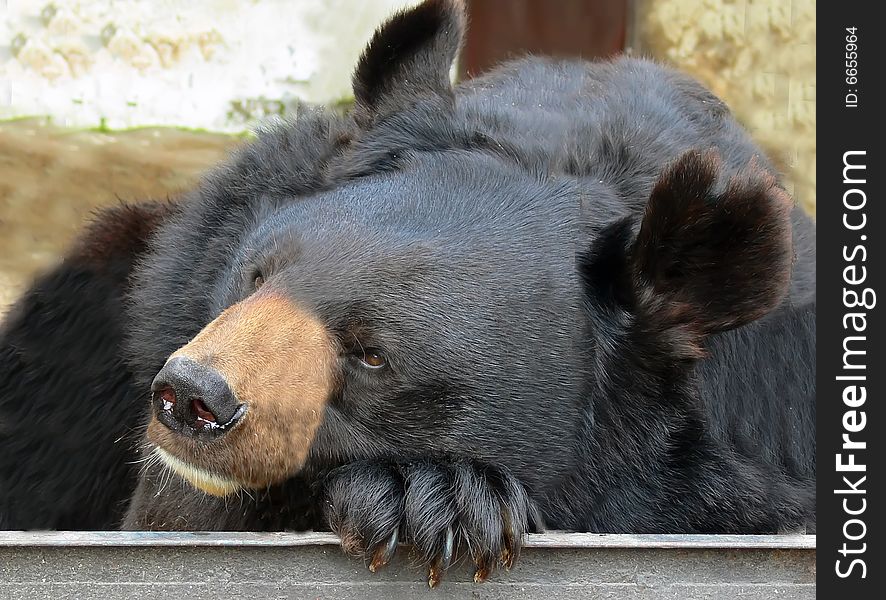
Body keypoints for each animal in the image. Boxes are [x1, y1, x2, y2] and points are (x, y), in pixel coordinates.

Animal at [1, 0, 820, 584]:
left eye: (372, 355)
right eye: (256, 276)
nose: (192, 398)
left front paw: (438, 499)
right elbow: (175, 516)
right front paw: (417, 498)